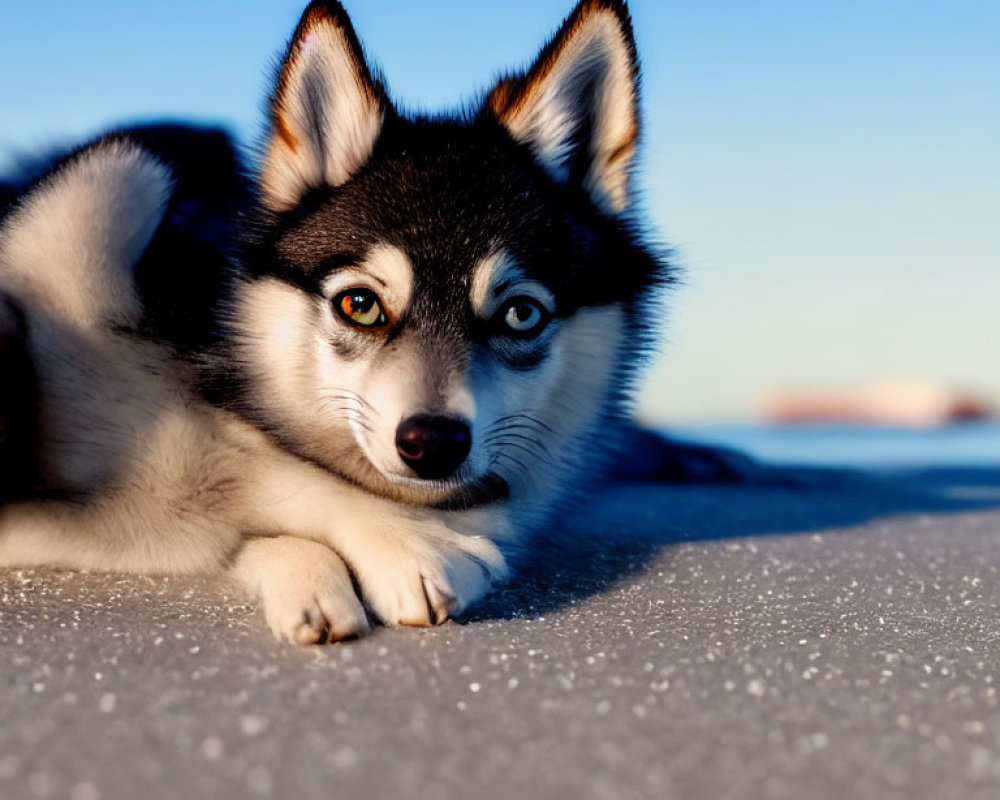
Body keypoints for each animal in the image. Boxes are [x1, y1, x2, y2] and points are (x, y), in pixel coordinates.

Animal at [3, 0, 668, 636]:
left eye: (521, 314)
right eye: (360, 304)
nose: (433, 444)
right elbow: (241, 467)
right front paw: (403, 541)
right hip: (132, 167)